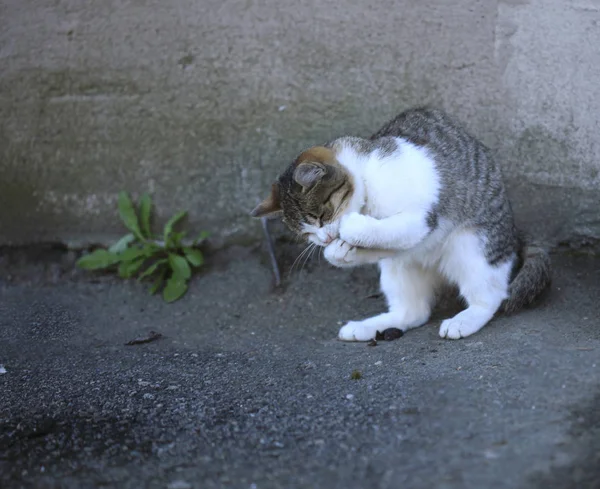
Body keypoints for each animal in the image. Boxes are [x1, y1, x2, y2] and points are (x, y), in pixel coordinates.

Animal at [251, 107, 552, 340]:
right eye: (307, 233)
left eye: (321, 217)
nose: (323, 239)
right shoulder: (402, 242)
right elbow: (389, 242)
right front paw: (339, 252)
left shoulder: (421, 217)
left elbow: (386, 227)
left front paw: (351, 231)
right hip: (399, 269)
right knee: (413, 312)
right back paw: (368, 326)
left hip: (473, 245)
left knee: (490, 295)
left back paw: (465, 320)